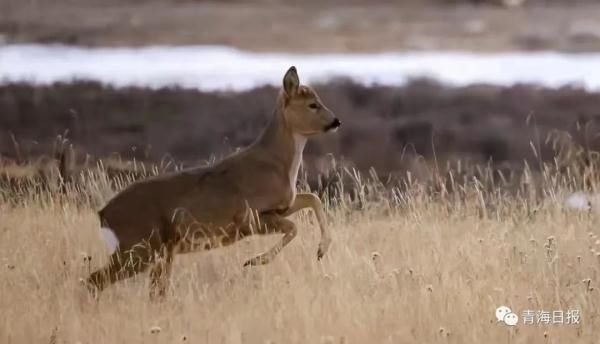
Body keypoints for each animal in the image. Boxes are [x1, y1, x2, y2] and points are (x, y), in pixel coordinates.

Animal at [85, 66, 340, 298]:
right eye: (313, 104)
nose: (336, 121)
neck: (278, 165)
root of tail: (103, 214)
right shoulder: (250, 216)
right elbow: (294, 227)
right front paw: (255, 261)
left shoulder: (282, 206)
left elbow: (312, 199)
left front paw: (321, 250)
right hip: (139, 246)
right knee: (94, 280)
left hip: (157, 251)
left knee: (150, 290)